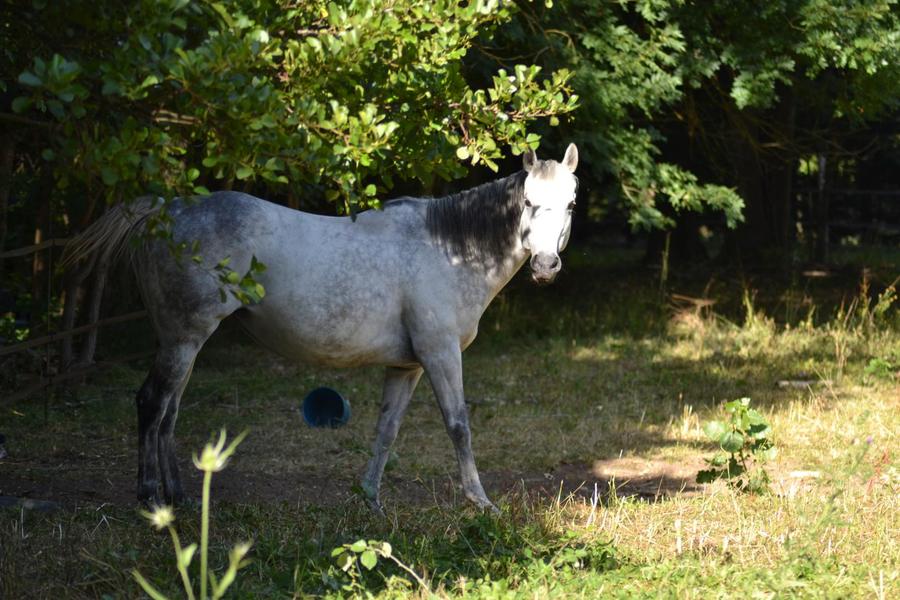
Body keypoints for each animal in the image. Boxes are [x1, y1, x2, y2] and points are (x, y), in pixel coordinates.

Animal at [67, 144, 580, 510]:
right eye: (529, 202)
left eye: (571, 205)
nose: (546, 266)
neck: (449, 249)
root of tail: (164, 212)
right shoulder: (440, 354)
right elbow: (459, 425)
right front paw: (480, 502)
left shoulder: (408, 367)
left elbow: (387, 429)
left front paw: (370, 499)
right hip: (183, 339)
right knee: (152, 403)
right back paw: (149, 496)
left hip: (183, 343)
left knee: (169, 411)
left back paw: (178, 496)